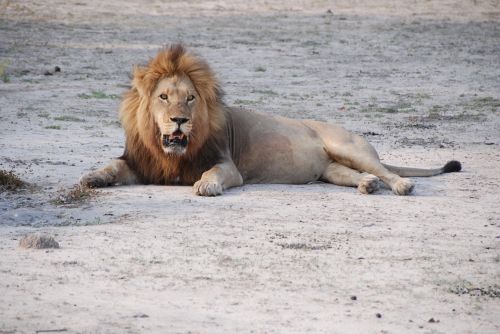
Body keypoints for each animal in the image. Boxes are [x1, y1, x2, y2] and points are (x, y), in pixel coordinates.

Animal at [79, 44, 460, 196]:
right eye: (163, 97)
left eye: (190, 98)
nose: (179, 121)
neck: (170, 153)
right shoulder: (142, 164)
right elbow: (112, 166)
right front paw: (92, 177)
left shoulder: (228, 165)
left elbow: (213, 172)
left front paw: (206, 186)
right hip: (331, 169)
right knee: (358, 175)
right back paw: (368, 185)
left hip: (349, 146)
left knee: (385, 170)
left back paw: (401, 185)